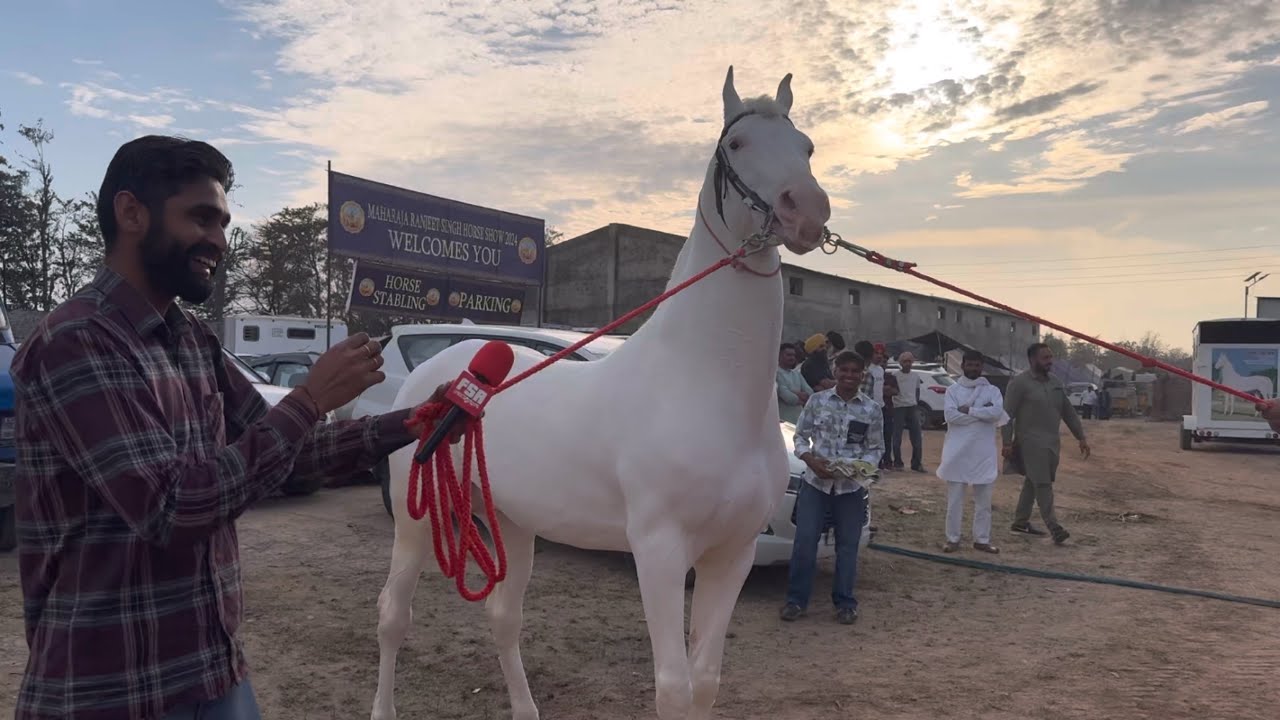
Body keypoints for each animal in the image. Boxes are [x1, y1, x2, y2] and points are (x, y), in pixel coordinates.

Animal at [370, 66, 832, 720]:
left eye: (808, 147)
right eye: (738, 144)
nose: (807, 211)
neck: (703, 386)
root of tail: (432, 370)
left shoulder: (732, 555)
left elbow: (706, 681)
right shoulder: (659, 551)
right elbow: (673, 687)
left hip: (511, 519)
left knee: (503, 618)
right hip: (415, 524)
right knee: (394, 616)